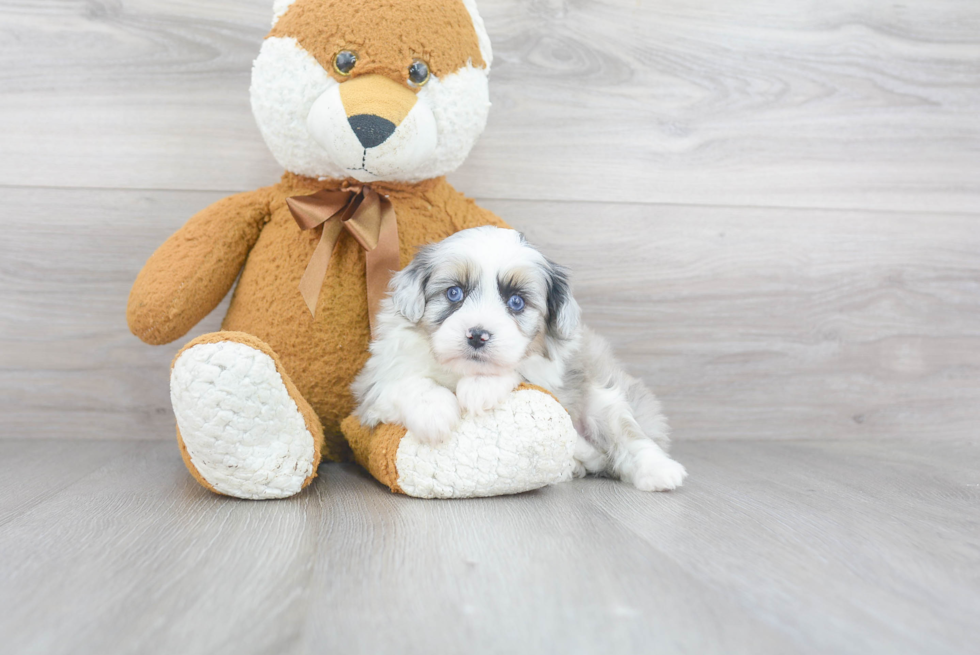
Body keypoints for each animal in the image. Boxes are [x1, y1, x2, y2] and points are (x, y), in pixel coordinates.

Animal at [354, 228, 688, 490]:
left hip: (602, 399)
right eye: (453, 293)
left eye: (516, 302)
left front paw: (480, 387)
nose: (477, 335)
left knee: (627, 436)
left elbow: (520, 371)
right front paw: (433, 414)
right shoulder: (373, 384)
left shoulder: (552, 371)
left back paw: (660, 471)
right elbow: (406, 383)